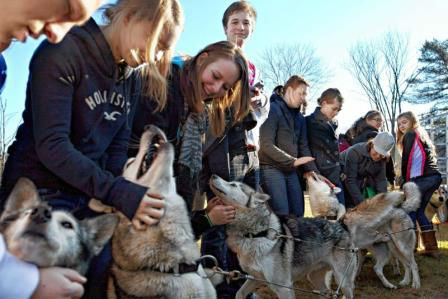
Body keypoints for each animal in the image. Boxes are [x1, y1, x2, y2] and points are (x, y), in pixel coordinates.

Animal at [209, 176, 356, 299]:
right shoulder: (254, 278)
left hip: (344, 282)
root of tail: (339, 224)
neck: (256, 234)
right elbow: (239, 293)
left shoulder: (283, 287)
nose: (213, 175)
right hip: (315, 278)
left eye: (233, 184)